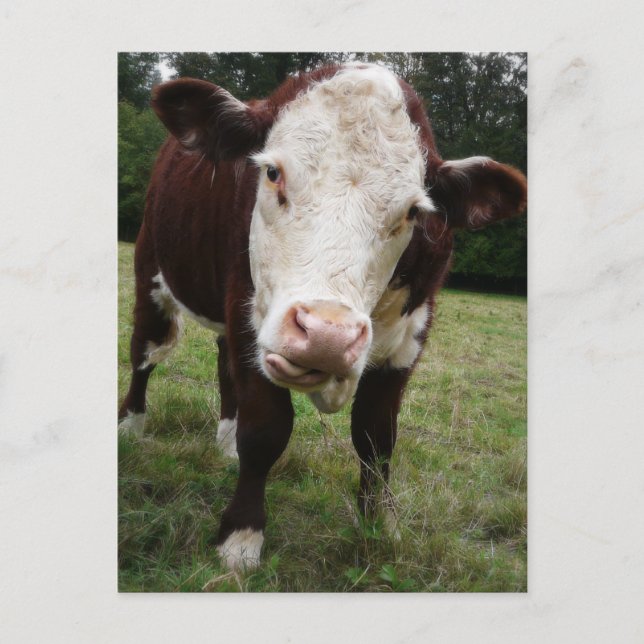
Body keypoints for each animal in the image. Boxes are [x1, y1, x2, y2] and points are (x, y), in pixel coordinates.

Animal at [118, 63, 527, 571]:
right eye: (272, 173)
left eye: (414, 211)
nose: (326, 336)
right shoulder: (248, 314)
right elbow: (266, 431)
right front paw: (241, 537)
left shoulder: (408, 341)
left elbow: (376, 439)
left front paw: (380, 525)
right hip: (152, 270)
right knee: (145, 354)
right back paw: (131, 429)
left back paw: (225, 441)